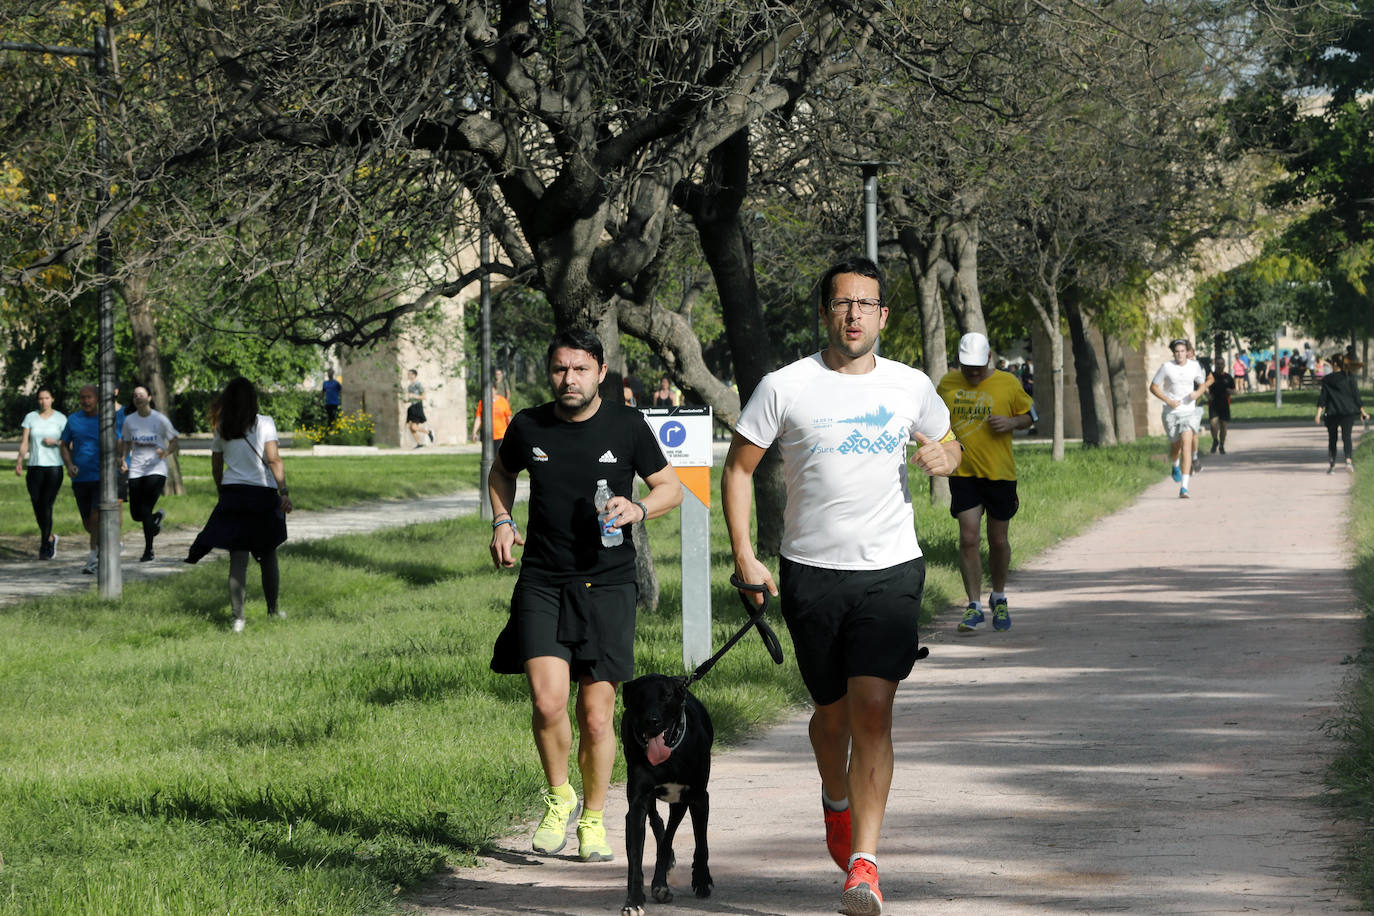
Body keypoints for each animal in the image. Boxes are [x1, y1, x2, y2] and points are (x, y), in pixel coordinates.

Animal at [618, 670, 714, 911]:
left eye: (667, 696)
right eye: (639, 696)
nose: (652, 721)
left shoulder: (699, 798)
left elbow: (701, 843)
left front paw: (701, 880)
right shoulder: (637, 803)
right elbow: (635, 855)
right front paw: (634, 900)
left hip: (680, 802)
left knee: (669, 836)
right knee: (657, 822)